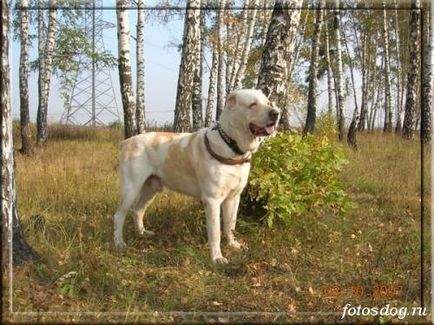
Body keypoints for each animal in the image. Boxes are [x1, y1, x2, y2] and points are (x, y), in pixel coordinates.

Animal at [113, 88, 280, 264]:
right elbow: (215, 232)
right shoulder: (212, 200)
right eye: (252, 104)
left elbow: (230, 225)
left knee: (138, 211)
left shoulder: (233, 198)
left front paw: (233, 245)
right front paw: (217, 258)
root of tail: (127, 141)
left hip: (151, 189)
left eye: (268, 102)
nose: (276, 113)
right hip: (131, 189)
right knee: (118, 216)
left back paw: (143, 233)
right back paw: (119, 244)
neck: (232, 146)